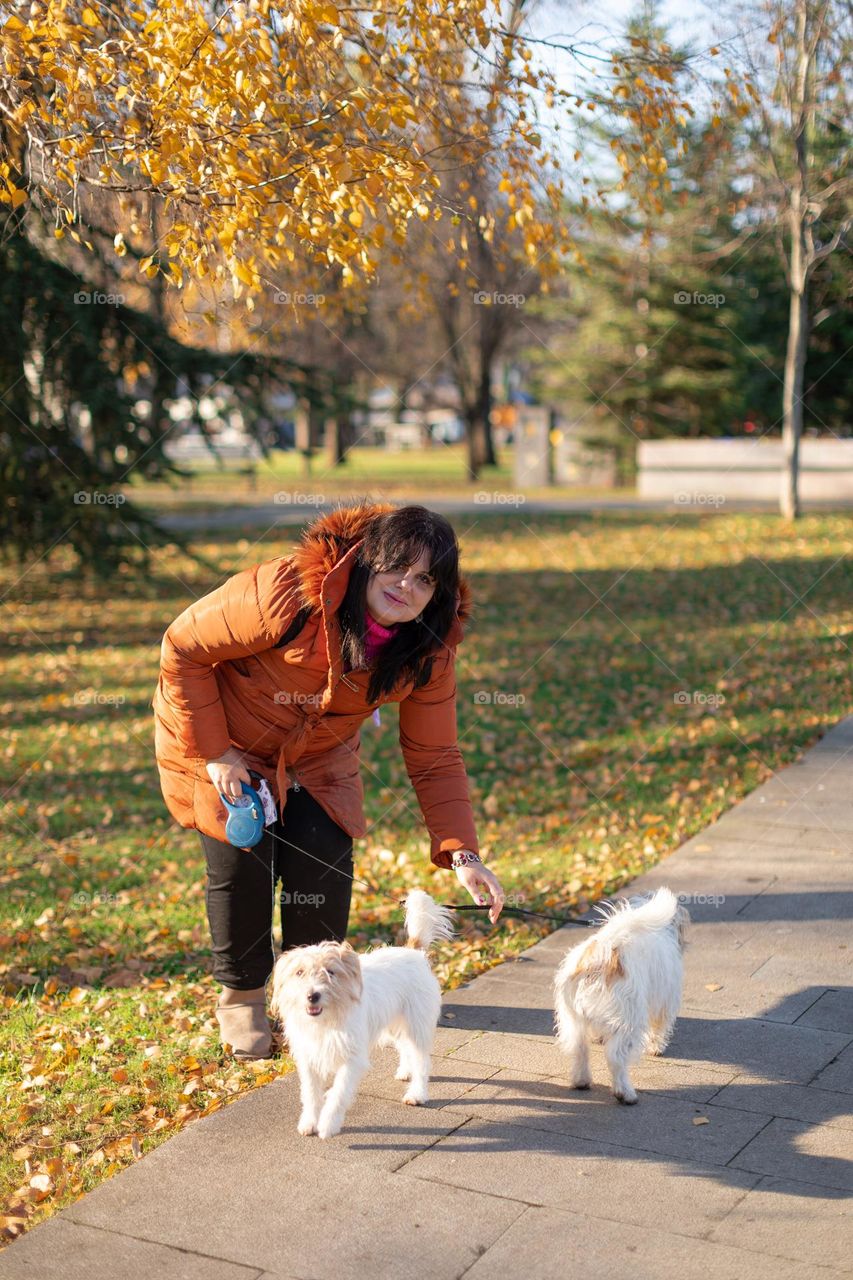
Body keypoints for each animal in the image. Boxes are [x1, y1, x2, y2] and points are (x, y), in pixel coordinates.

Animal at [268, 890, 450, 1141]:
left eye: (331, 972)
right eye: (299, 972)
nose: (312, 995)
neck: (327, 1020)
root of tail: (413, 951)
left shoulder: (352, 1059)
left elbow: (338, 1093)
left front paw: (328, 1124)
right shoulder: (309, 1058)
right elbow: (311, 1094)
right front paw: (309, 1122)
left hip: (416, 1024)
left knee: (421, 1059)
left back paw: (417, 1092)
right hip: (394, 1024)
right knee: (405, 1047)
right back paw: (406, 1071)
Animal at [550, 885, 686, 1105]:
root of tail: (603, 954)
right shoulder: (665, 998)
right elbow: (659, 1026)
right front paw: (656, 1047)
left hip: (572, 1017)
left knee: (579, 1048)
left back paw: (581, 1080)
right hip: (629, 1019)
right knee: (615, 1058)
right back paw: (625, 1093)